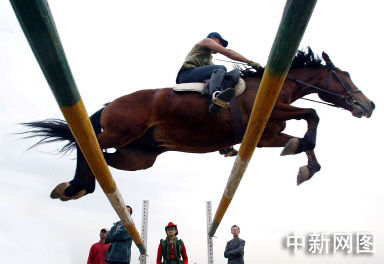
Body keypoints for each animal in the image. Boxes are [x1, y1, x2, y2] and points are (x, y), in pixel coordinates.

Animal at [22, 48, 374, 201]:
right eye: (345, 76)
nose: (369, 105)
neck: (277, 86)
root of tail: (111, 104)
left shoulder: (265, 137)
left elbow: (303, 136)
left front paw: (305, 164)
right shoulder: (269, 114)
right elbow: (312, 115)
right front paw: (302, 151)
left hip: (138, 157)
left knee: (103, 162)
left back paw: (80, 186)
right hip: (119, 132)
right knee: (86, 146)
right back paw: (75, 187)